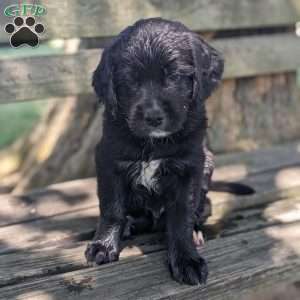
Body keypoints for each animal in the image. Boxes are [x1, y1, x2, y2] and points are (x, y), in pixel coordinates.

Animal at [85, 17, 224, 284]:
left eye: (175, 76)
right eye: (130, 80)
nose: (153, 117)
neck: (154, 143)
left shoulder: (190, 167)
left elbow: (181, 216)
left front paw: (186, 259)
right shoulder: (108, 160)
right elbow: (112, 208)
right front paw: (103, 245)